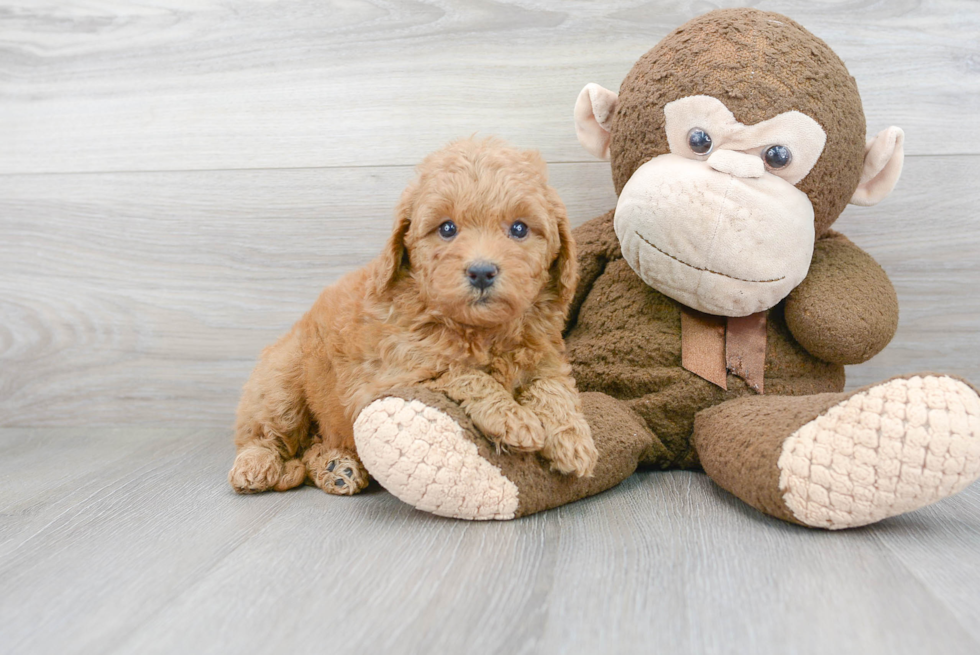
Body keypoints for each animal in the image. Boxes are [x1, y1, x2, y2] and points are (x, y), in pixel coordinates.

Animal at [230, 138, 596, 498]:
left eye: (519, 228)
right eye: (447, 228)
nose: (481, 271)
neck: (481, 331)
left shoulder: (545, 356)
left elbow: (553, 387)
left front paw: (573, 440)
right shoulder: (390, 376)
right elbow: (461, 372)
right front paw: (513, 420)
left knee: (314, 446)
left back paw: (338, 469)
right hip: (280, 385)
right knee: (264, 434)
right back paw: (256, 467)